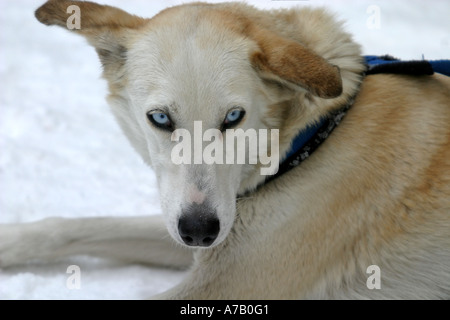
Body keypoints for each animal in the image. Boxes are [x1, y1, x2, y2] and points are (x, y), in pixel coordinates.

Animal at [0, 0, 448, 300]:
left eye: (234, 116)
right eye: (160, 118)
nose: (199, 231)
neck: (309, 138)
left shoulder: (225, 281)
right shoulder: (200, 223)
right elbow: (64, 227)